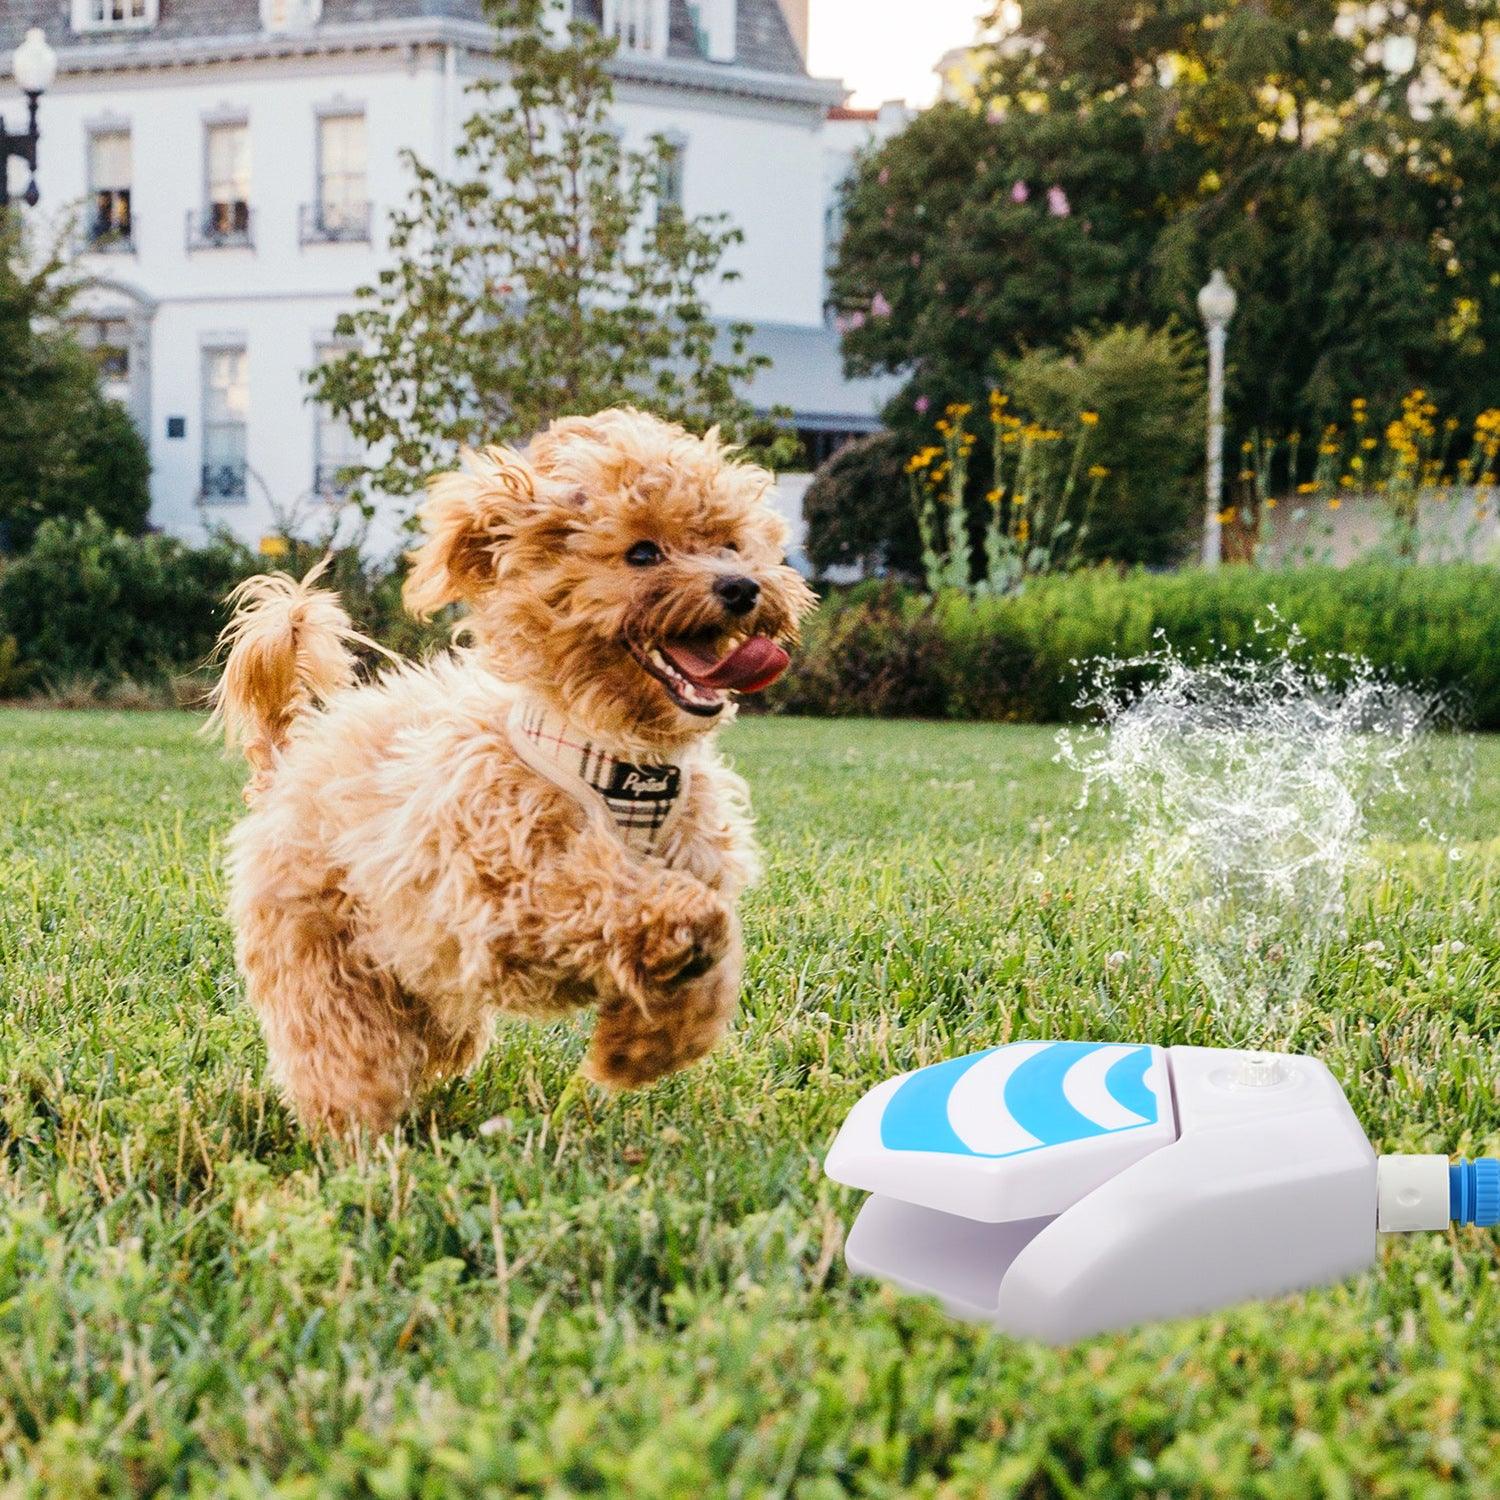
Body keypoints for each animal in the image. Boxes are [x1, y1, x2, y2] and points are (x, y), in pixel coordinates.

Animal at [208, 405, 810, 1128]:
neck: (622, 763)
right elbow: (615, 896)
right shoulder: (501, 896)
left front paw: (640, 1050)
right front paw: (670, 930)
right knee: (346, 1061)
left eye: (730, 544)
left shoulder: (696, 860)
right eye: (642, 553)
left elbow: (713, 967)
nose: (743, 586)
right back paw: (362, 1138)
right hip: (326, 965)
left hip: (418, 988)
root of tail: (290, 759)